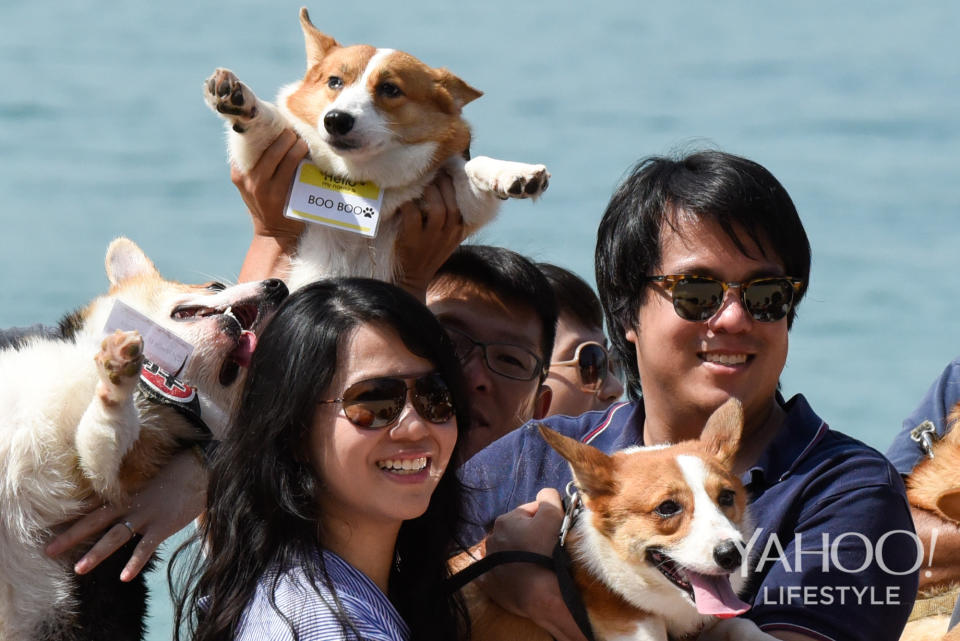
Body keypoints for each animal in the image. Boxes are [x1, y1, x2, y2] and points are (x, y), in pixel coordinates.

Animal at [204, 6, 548, 288]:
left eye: (390, 89)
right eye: (334, 82)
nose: (336, 120)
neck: (357, 176)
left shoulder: (465, 205)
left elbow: (469, 169)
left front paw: (516, 174)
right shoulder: (265, 152)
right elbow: (270, 123)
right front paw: (240, 101)